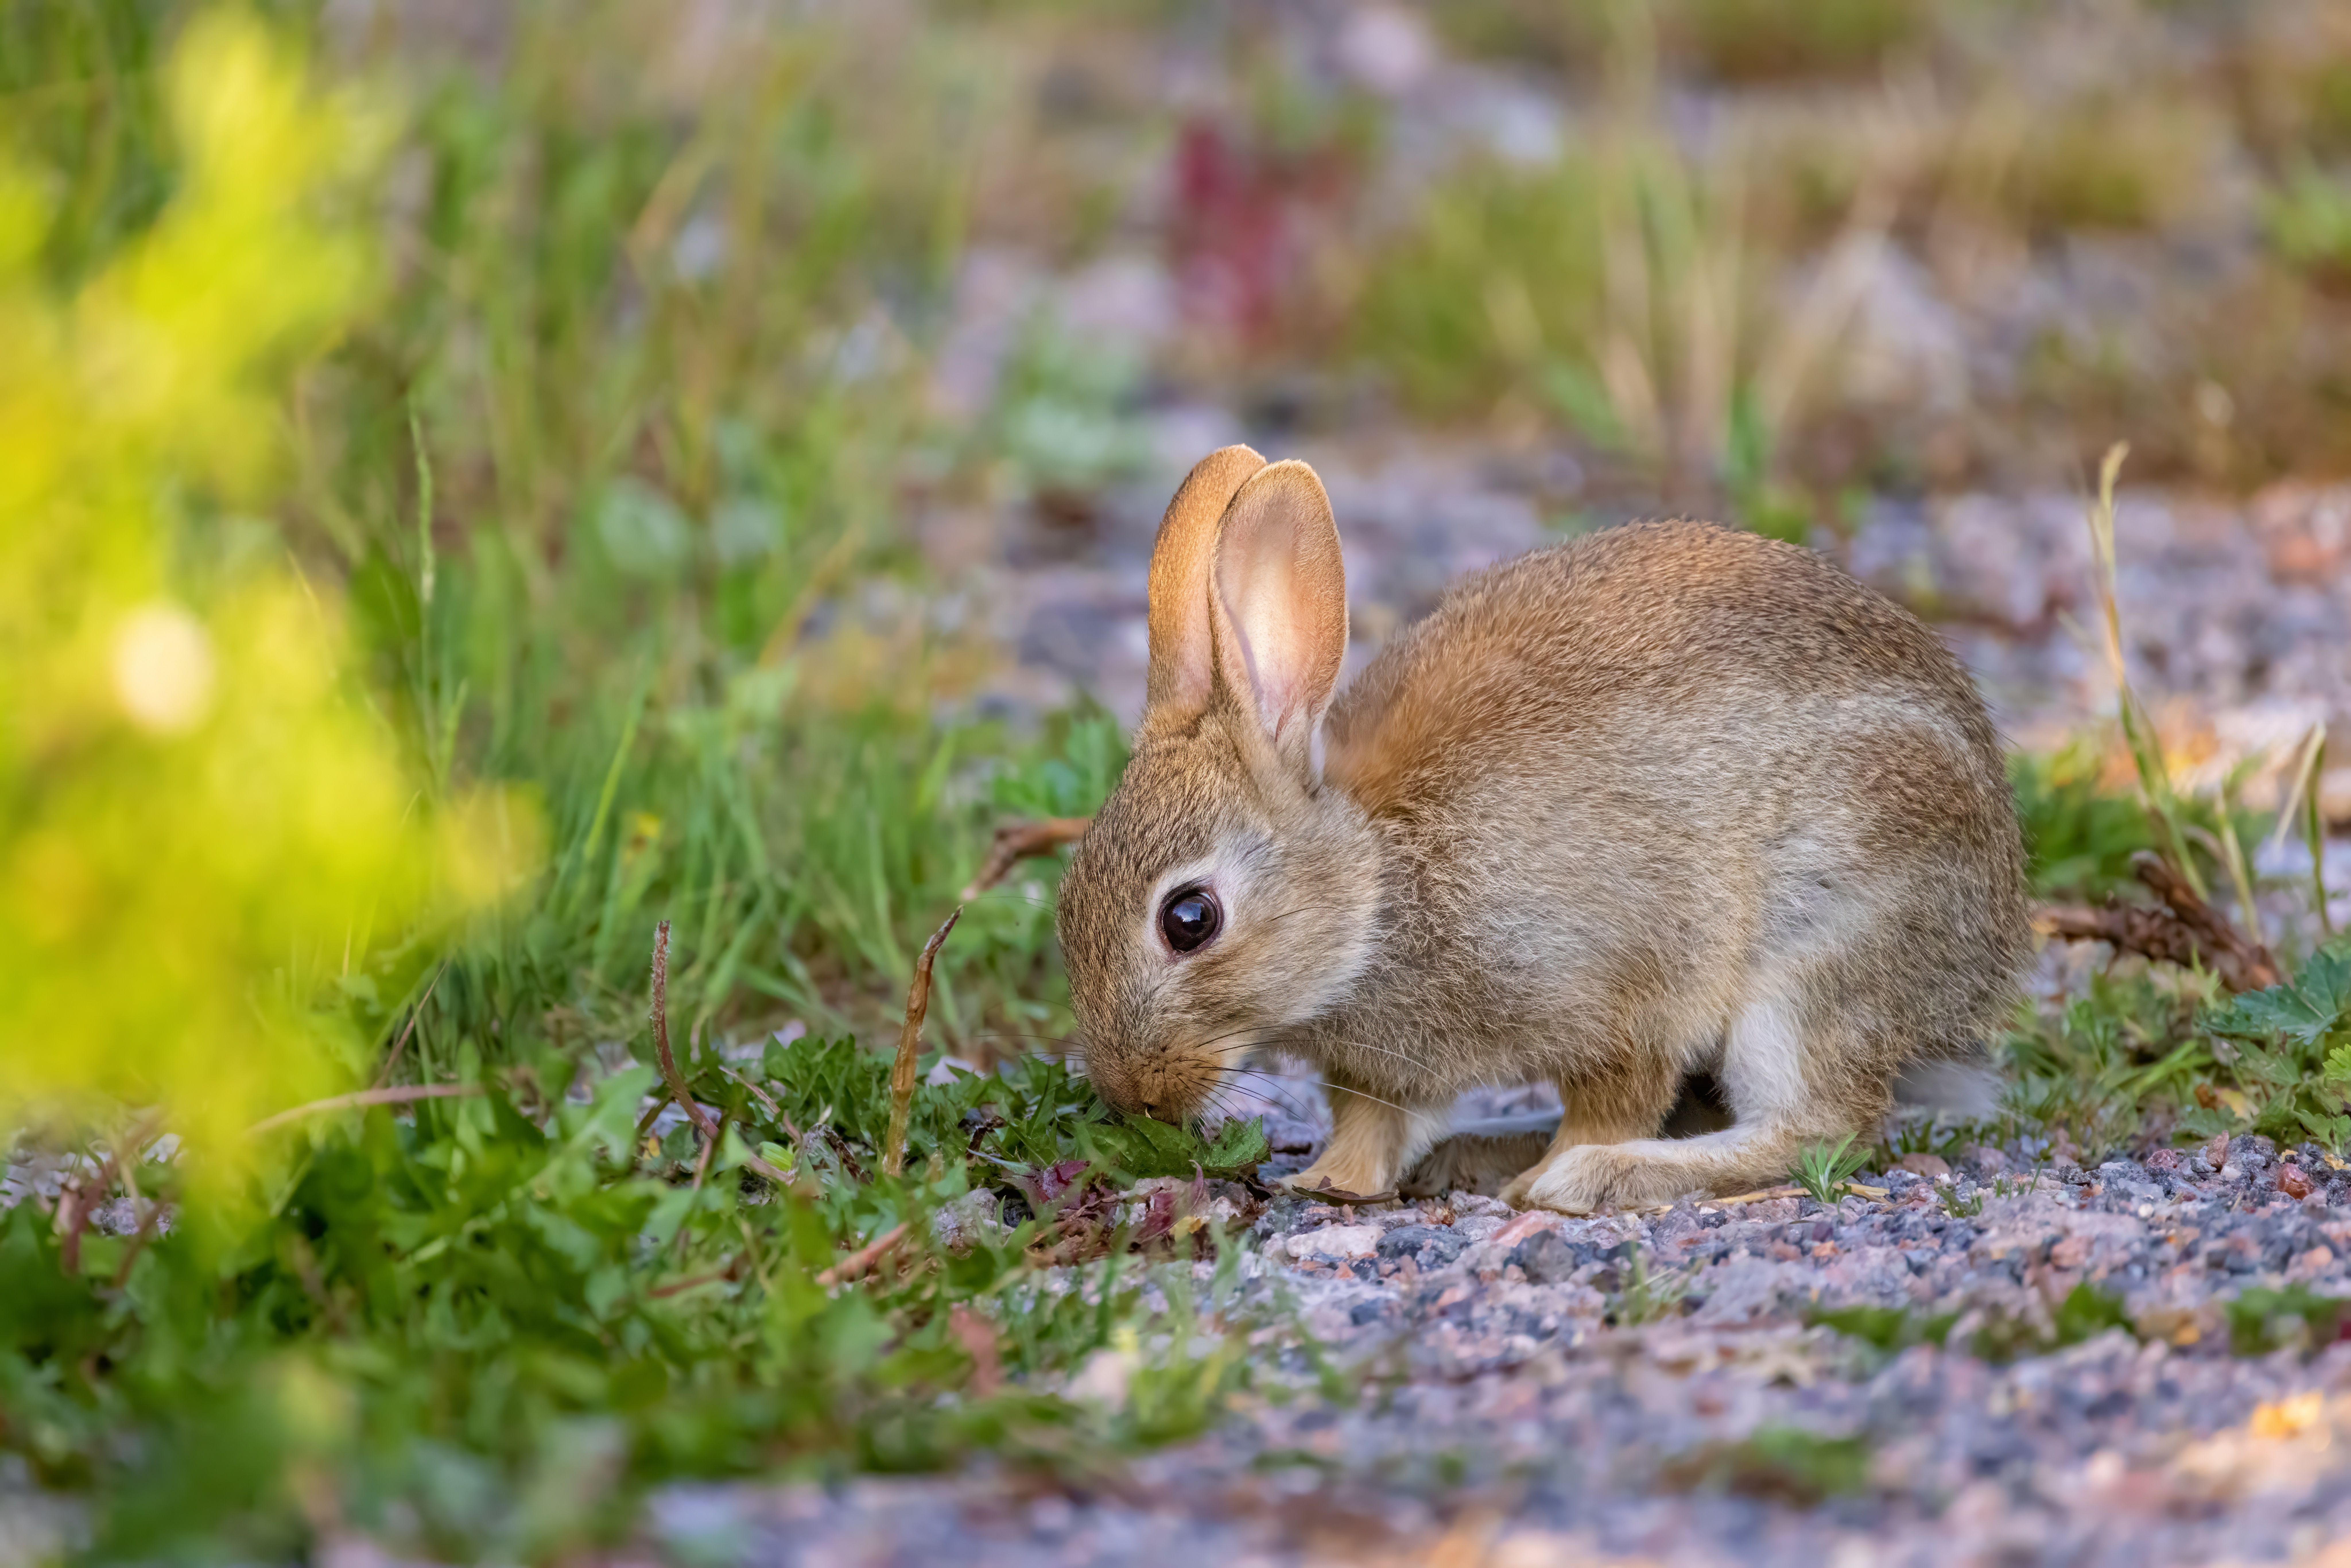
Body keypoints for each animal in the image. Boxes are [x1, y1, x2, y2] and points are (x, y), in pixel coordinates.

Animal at [1055, 445, 2031, 1213]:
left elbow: (1618, 1093)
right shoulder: (1380, 1071)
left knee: (1819, 1125)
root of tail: (1989, 951)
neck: (1377, 892)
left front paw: (1564, 1172)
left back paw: (1594, 1177)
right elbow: (1370, 1126)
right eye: (1066, 904)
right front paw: (1328, 1182)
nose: (1132, 1094)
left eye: (1190, 920)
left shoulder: (1624, 990)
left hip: (1815, 951)